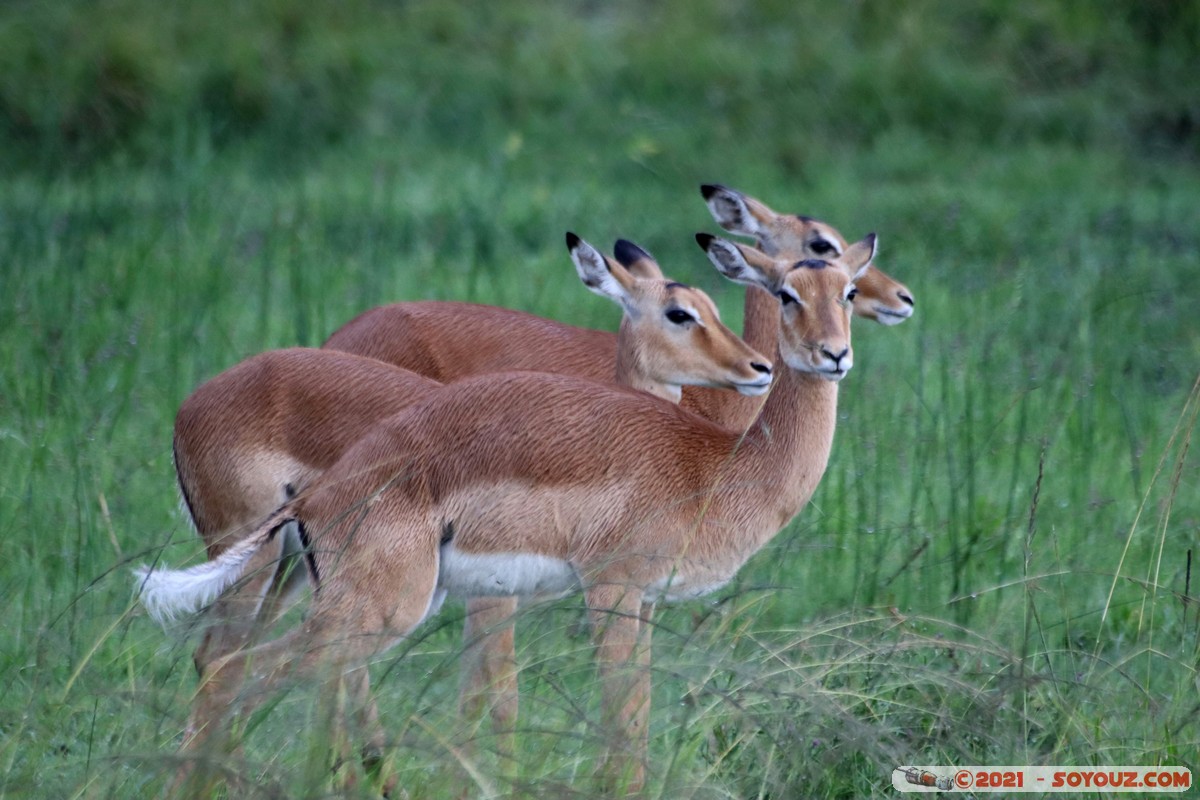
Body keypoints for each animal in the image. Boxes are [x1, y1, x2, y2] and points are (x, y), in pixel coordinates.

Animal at [137, 232, 876, 794]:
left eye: (846, 290)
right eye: (786, 294)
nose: (833, 355)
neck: (711, 461)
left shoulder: (631, 600)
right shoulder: (606, 589)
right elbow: (611, 722)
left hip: (308, 587)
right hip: (359, 601)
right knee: (240, 669)